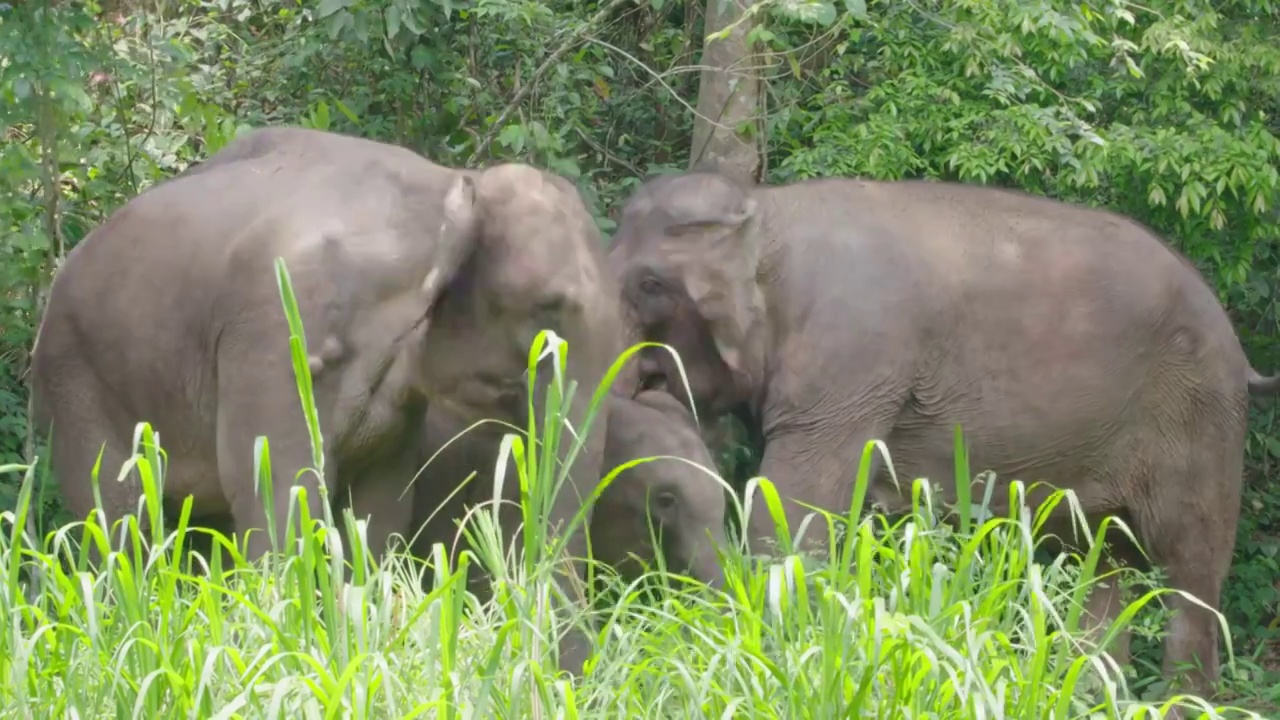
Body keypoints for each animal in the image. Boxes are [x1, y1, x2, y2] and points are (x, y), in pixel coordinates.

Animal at [27, 124, 627, 671]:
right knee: (116, 517)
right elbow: (277, 492)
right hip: (74, 375)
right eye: (550, 307)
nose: (568, 676)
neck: (447, 189)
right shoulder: (278, 332)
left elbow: (381, 506)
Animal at [606, 163, 1280, 702]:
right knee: (1100, 565)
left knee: (1191, 568)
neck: (763, 210)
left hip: (1202, 416)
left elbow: (789, 506)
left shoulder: (850, 359)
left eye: (650, 285)